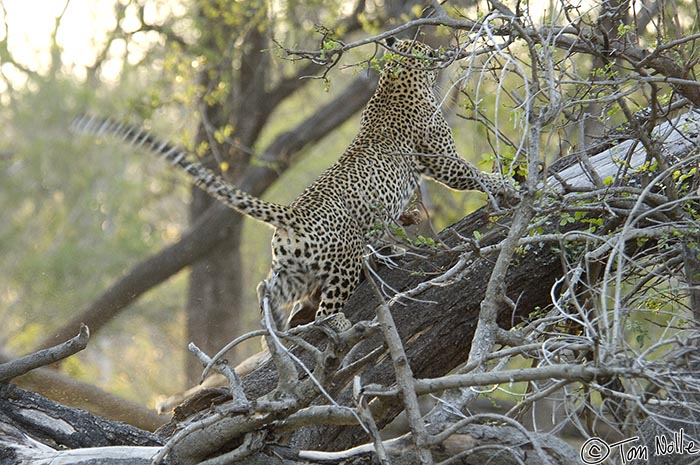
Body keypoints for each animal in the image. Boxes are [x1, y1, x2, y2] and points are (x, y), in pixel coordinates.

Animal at [72, 38, 516, 332]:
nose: (444, 51)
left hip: (292, 272)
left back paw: (276, 332)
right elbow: (473, 174)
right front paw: (508, 184)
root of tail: (293, 214)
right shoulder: (441, 159)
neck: (395, 80)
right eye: (423, 48)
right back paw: (337, 327)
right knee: (325, 312)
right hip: (342, 264)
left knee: (265, 292)